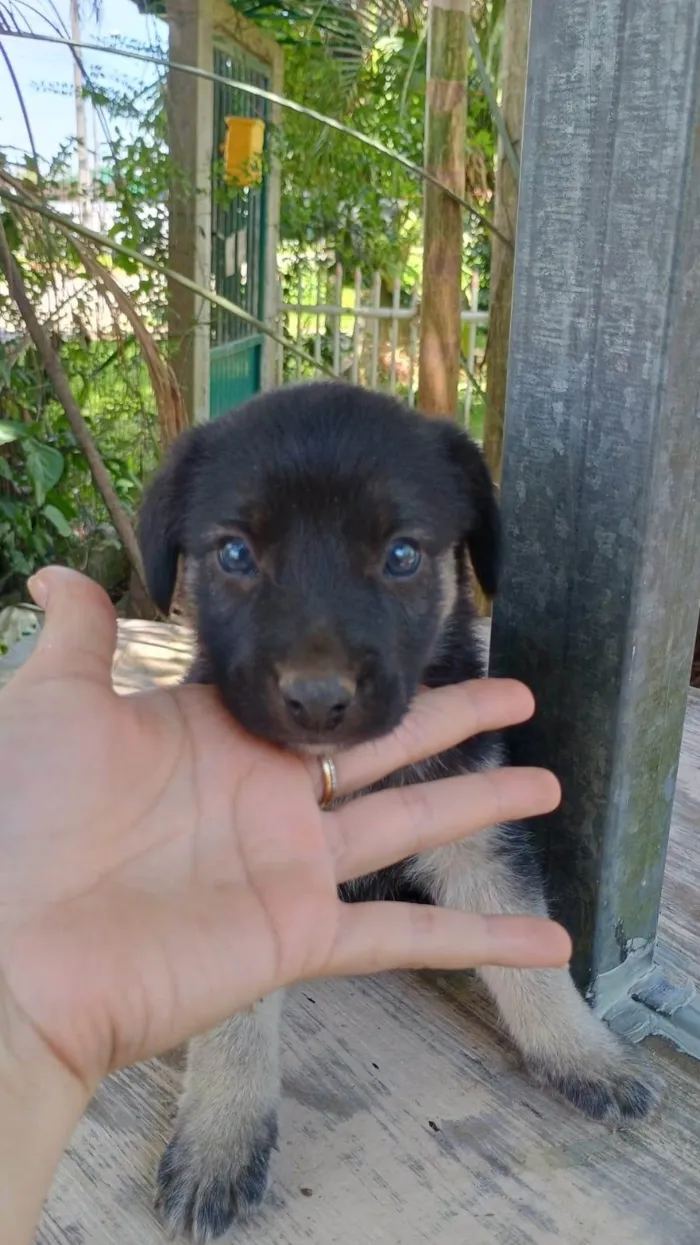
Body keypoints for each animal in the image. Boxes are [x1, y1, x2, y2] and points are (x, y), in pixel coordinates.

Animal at [137, 378, 657, 1245]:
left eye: (403, 555)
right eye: (235, 554)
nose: (318, 701)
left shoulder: (474, 825)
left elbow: (530, 950)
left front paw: (583, 1053)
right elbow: (235, 1018)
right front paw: (221, 1137)